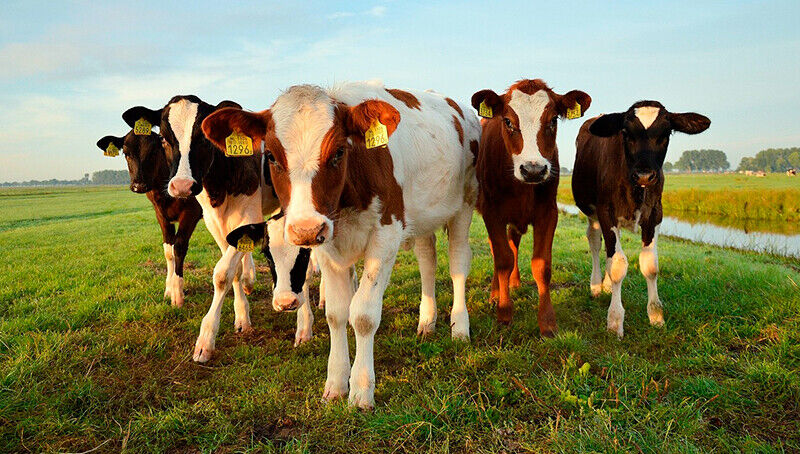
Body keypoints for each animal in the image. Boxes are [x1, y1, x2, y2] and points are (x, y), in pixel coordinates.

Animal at [96, 109, 203, 308]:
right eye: (126, 153)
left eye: (153, 151)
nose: (138, 185)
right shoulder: (160, 214)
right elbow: (168, 250)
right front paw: (169, 289)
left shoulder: (191, 211)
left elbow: (179, 247)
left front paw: (178, 294)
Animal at [142, 95, 316, 360]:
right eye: (163, 138)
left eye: (204, 138)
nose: (182, 186)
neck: (221, 181)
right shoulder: (214, 222)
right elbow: (233, 269)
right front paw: (242, 316)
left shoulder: (247, 215)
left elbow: (222, 273)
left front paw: (205, 339)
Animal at [202, 81, 480, 409]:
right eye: (269, 156)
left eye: (338, 152)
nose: (306, 228)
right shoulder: (327, 243)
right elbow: (336, 313)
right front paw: (335, 383)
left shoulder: (386, 234)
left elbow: (363, 314)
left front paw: (361, 389)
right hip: (423, 216)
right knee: (427, 259)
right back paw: (427, 321)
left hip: (465, 203)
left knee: (458, 263)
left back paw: (459, 327)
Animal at [470, 79, 591, 336]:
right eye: (507, 121)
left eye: (553, 119)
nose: (533, 170)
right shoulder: (492, 212)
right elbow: (502, 259)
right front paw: (504, 313)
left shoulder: (548, 212)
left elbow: (541, 265)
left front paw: (547, 322)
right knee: (498, 250)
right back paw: (495, 293)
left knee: (513, 241)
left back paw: (514, 282)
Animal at [571, 100, 710, 338]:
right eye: (626, 133)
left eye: (666, 133)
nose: (644, 175)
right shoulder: (606, 213)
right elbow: (618, 264)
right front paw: (615, 320)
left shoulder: (654, 215)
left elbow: (650, 265)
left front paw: (655, 315)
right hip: (592, 213)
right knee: (595, 242)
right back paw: (596, 285)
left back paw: (606, 285)